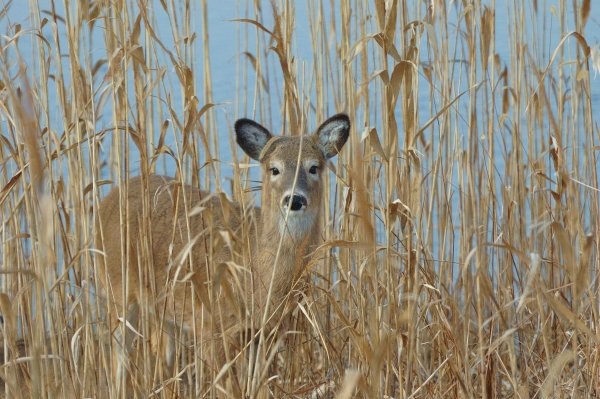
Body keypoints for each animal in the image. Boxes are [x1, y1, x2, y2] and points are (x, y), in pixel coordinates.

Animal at [95, 112, 350, 394]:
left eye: (313, 167)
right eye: (274, 168)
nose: (294, 199)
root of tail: (109, 198)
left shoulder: (267, 332)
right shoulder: (212, 326)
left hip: (167, 310)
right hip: (118, 292)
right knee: (117, 359)